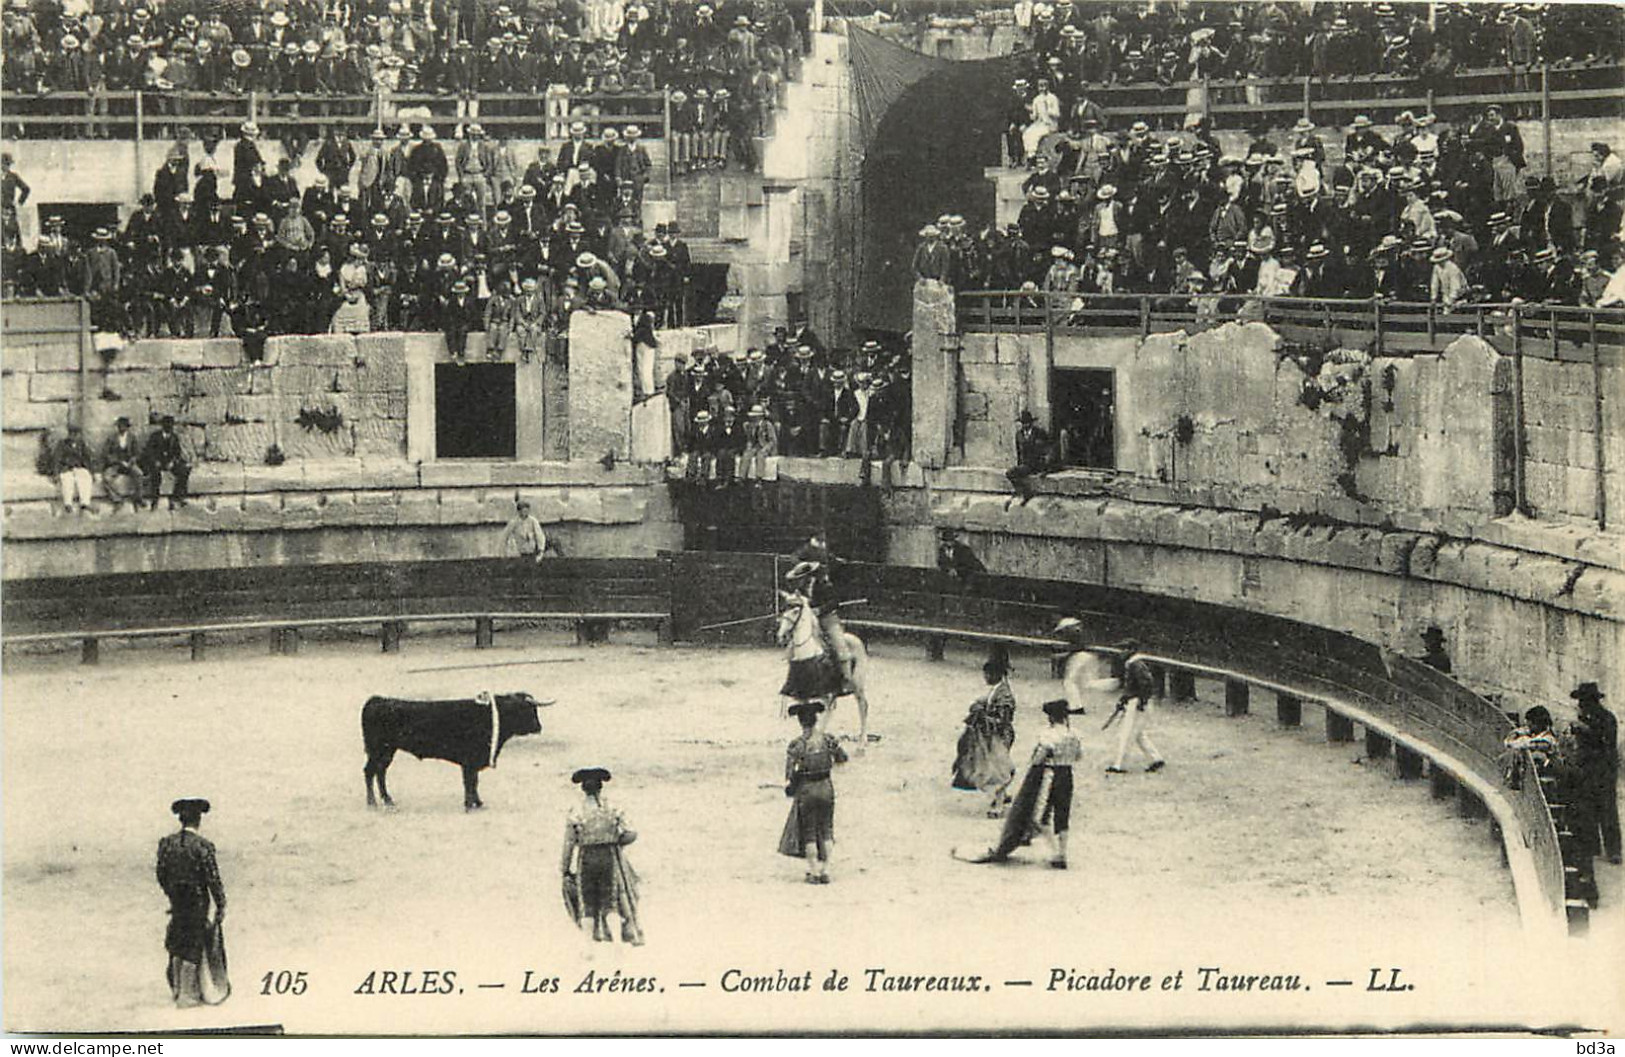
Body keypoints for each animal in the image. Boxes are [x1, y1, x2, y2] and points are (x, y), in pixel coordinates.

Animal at [362, 692, 546, 806]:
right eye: (527, 710)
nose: (539, 727)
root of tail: (377, 700)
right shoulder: (470, 760)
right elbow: (470, 781)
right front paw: (471, 804)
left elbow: (473, 781)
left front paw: (477, 802)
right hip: (378, 750)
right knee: (370, 771)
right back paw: (372, 802)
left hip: (387, 751)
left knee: (380, 772)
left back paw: (386, 800)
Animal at [776, 585, 871, 748]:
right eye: (783, 610)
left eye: (795, 610)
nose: (781, 636)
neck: (808, 654)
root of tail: (855, 639)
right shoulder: (803, 695)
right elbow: (808, 719)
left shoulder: (827, 696)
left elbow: (821, 724)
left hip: (858, 685)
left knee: (863, 707)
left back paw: (862, 742)